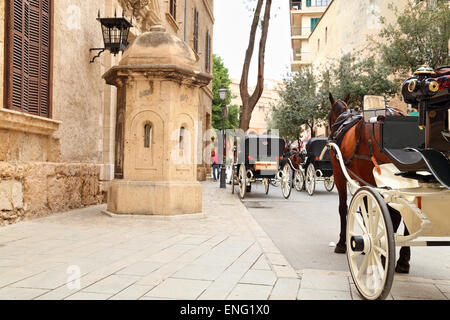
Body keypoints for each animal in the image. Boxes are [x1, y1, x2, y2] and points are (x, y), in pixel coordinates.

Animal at [326, 92, 412, 272]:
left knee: (394, 214)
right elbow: (365, 208)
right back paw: (403, 260)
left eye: (328, 115)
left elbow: (343, 207)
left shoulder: (339, 174)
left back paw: (386, 256)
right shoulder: (362, 180)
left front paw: (342, 243)